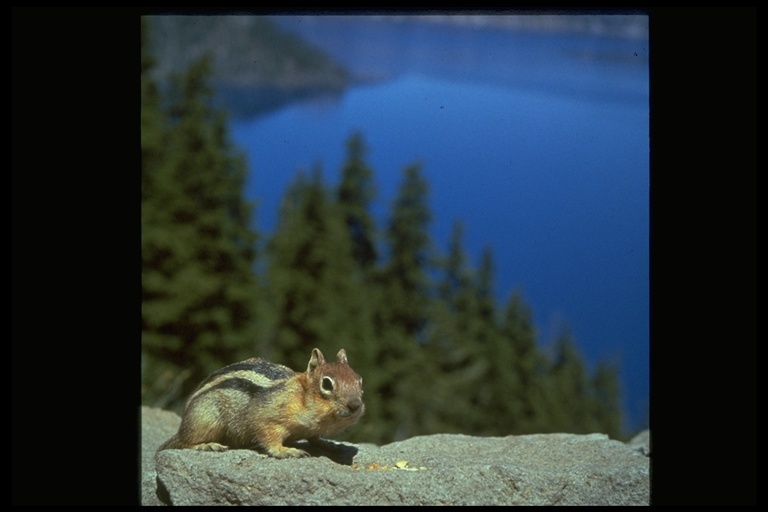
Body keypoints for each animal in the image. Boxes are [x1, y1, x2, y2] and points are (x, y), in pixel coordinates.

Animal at [158, 346, 364, 458]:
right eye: (327, 384)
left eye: (360, 380)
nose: (355, 405)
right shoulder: (266, 418)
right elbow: (268, 436)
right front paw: (286, 451)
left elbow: (315, 438)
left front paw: (330, 444)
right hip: (206, 420)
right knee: (185, 442)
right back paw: (207, 445)